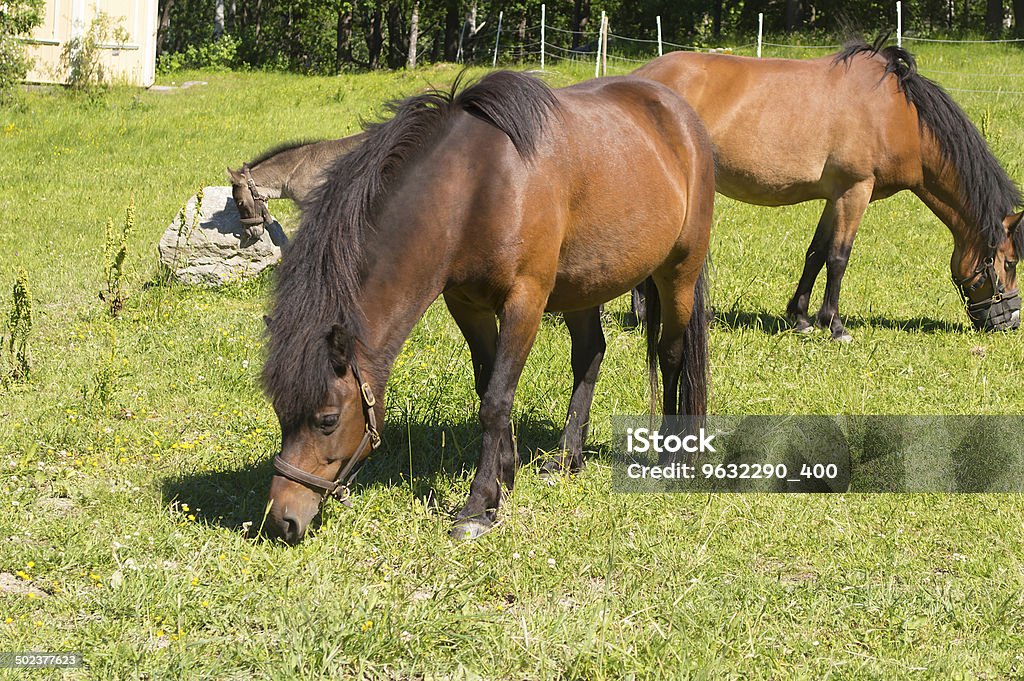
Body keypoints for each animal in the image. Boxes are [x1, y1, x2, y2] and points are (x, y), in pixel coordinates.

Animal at [262, 71, 712, 540]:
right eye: (279, 411)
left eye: (327, 419)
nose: (282, 520)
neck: (477, 186)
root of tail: (680, 116)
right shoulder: (466, 305)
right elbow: (488, 386)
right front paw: (504, 478)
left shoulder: (525, 301)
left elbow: (496, 400)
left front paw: (478, 506)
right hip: (583, 286)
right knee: (590, 356)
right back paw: (567, 459)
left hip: (679, 271)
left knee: (671, 355)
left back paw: (671, 454)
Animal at [634, 37, 1019, 337]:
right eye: (1011, 262)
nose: (1011, 321)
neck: (898, 115)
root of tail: (638, 77)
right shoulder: (856, 191)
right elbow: (838, 257)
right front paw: (834, 324)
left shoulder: (835, 198)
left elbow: (816, 253)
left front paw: (802, 318)